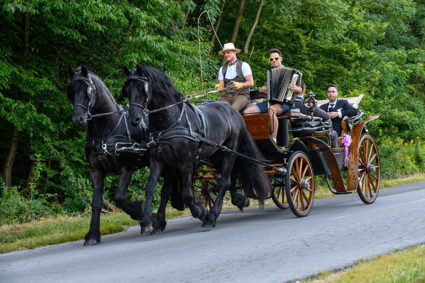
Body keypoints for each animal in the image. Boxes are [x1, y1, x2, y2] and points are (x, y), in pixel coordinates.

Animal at [66, 65, 181, 245]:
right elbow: (96, 203)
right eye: (70, 91)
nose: (78, 119)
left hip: (168, 164)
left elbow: (119, 197)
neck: (106, 130)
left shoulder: (127, 167)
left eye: (88, 91)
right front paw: (92, 235)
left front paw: (144, 216)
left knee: (165, 190)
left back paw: (159, 221)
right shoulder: (96, 171)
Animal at [121, 65, 272, 232]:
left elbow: (187, 195)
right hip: (216, 154)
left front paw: (201, 212)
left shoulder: (185, 161)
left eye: (142, 88)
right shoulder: (158, 161)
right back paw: (237, 201)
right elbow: (150, 189)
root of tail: (234, 112)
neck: (170, 122)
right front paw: (148, 221)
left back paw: (211, 216)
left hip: (230, 151)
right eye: (127, 90)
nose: (134, 119)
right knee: (229, 178)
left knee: (225, 181)